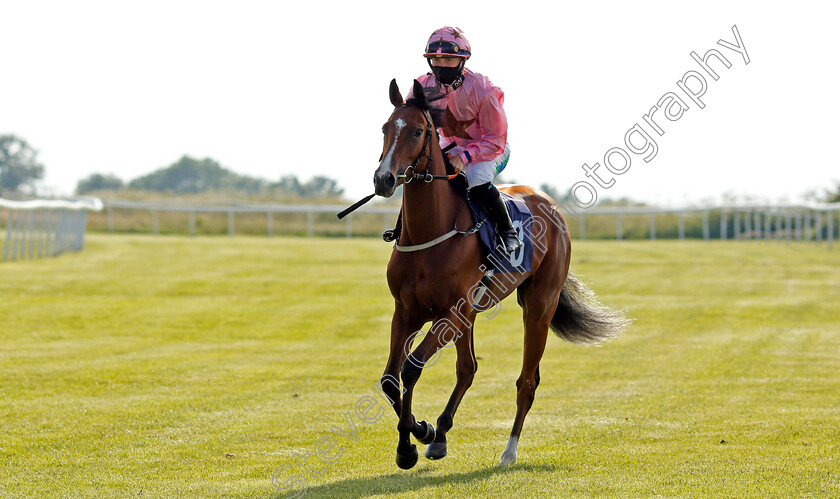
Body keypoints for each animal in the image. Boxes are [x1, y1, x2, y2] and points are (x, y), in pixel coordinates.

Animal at [372, 78, 624, 468]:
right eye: (385, 128)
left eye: (417, 131)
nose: (383, 179)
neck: (430, 233)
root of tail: (548, 202)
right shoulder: (408, 312)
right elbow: (389, 380)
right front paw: (422, 432)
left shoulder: (450, 313)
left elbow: (411, 368)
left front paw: (408, 444)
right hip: (472, 315)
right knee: (468, 368)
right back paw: (440, 436)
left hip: (539, 305)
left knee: (526, 382)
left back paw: (508, 451)